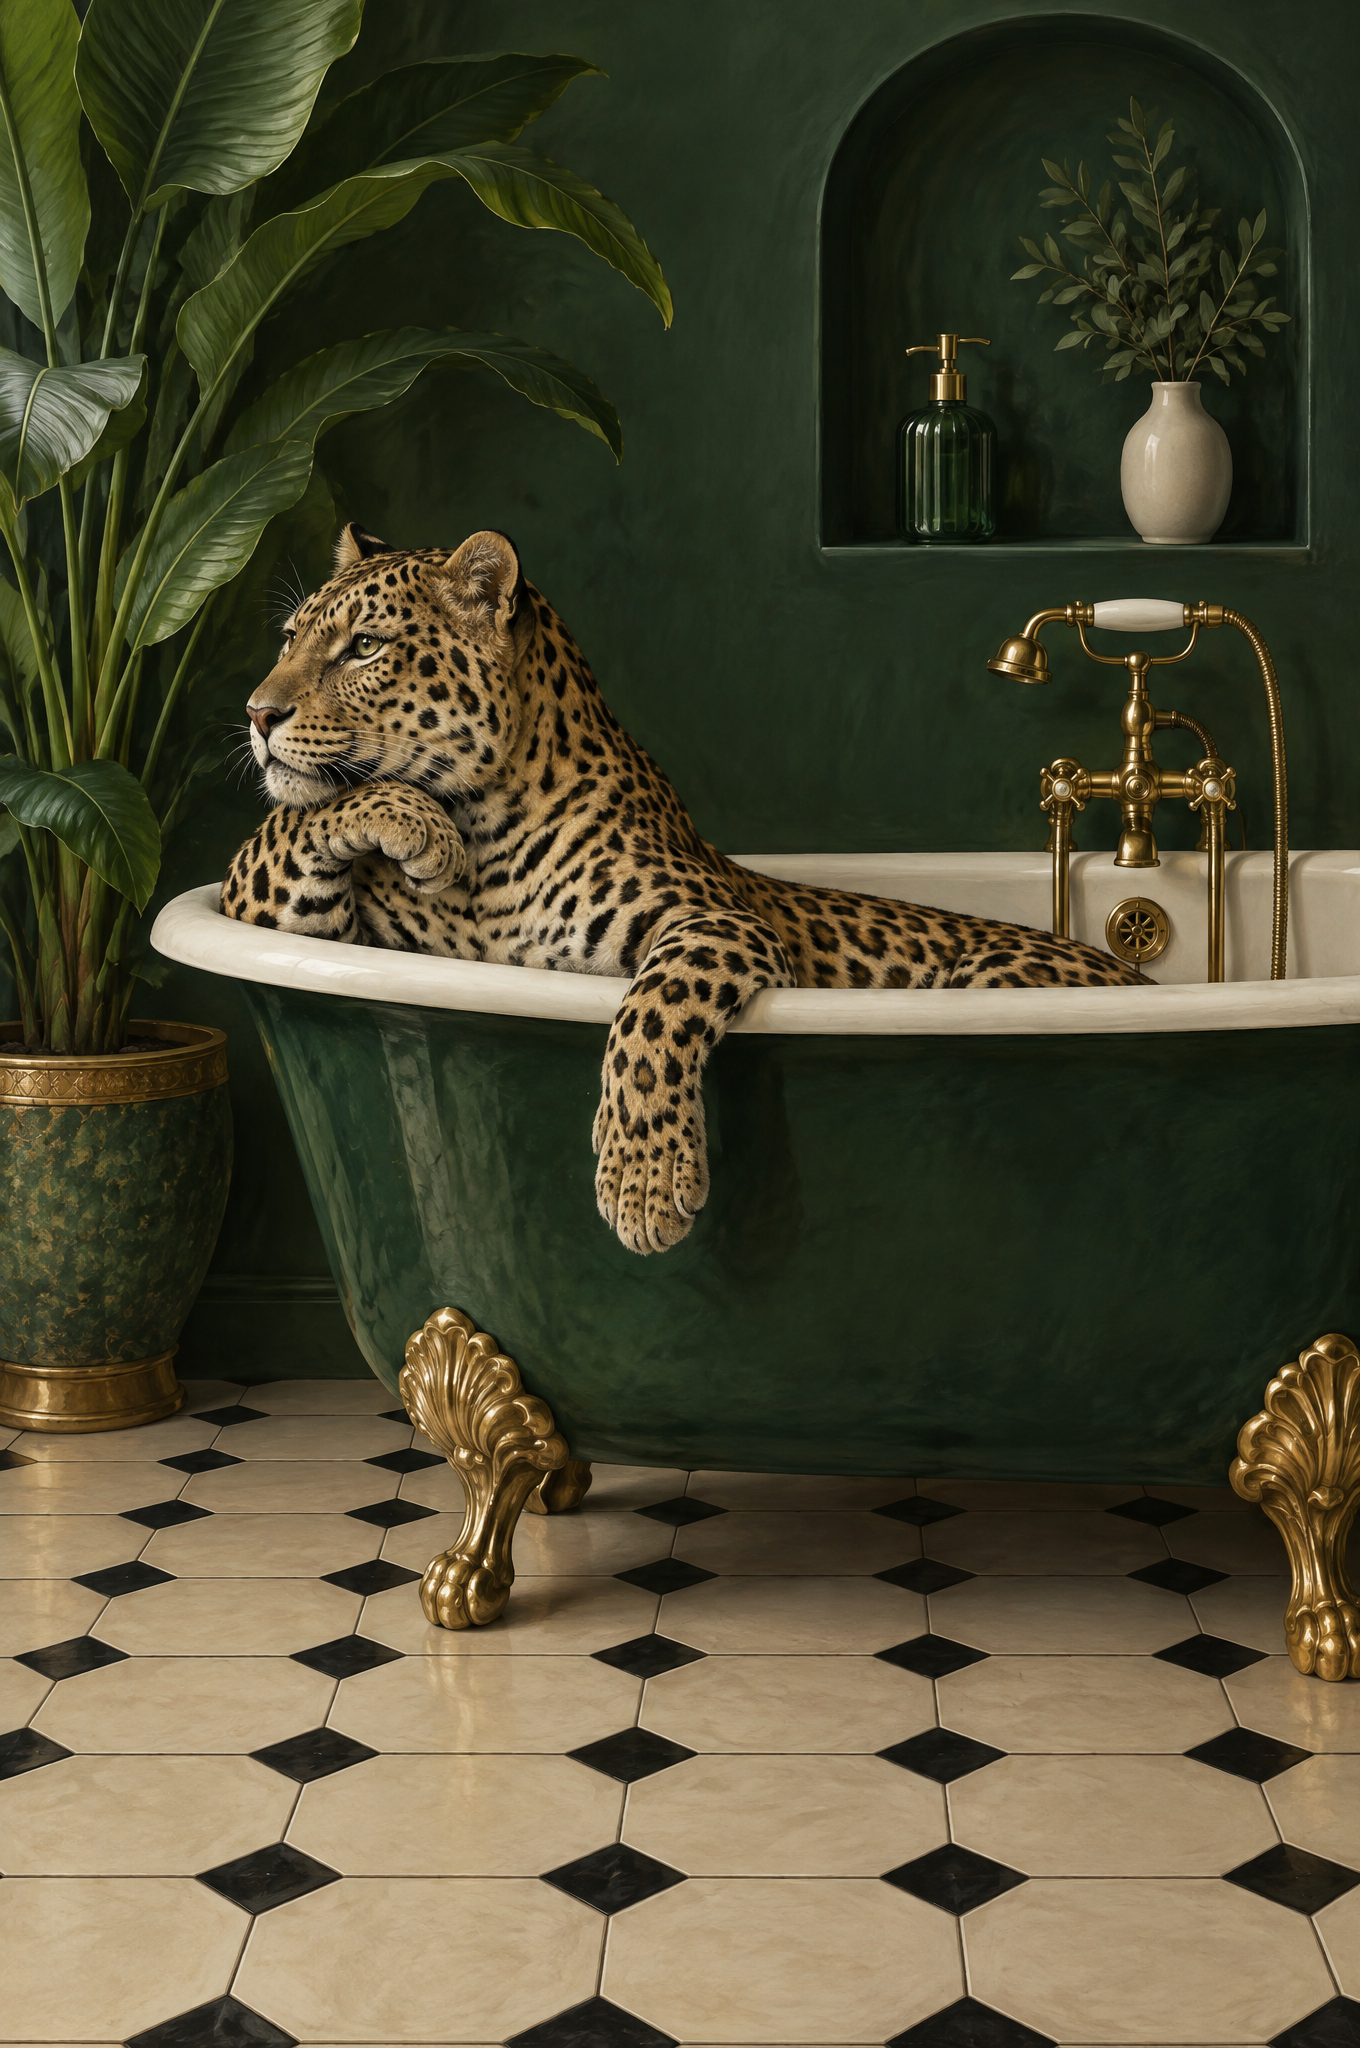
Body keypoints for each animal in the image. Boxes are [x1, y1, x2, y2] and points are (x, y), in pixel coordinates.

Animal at [222, 523, 1147, 1254]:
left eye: (365, 648)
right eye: (291, 637)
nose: (256, 712)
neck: (484, 832)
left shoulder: (714, 921)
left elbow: (650, 1012)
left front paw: (640, 1178)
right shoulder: (292, 919)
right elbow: (291, 820)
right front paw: (412, 826)